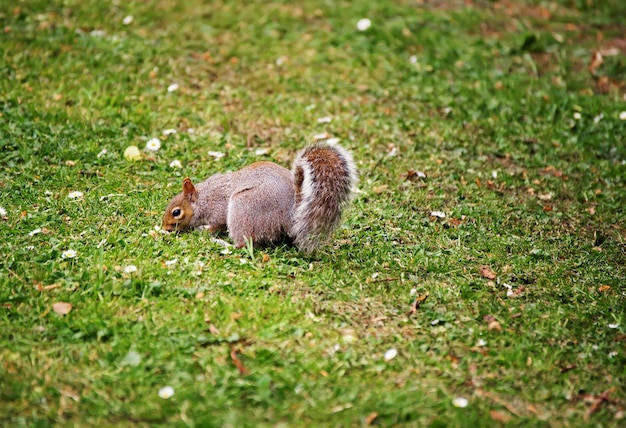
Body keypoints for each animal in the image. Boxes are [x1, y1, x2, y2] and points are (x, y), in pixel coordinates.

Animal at [161, 142, 356, 252]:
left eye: (176, 212)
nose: (164, 228)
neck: (203, 199)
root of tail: (292, 212)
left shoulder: (218, 209)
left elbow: (217, 224)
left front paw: (205, 230)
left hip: (243, 206)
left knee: (243, 244)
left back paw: (222, 244)